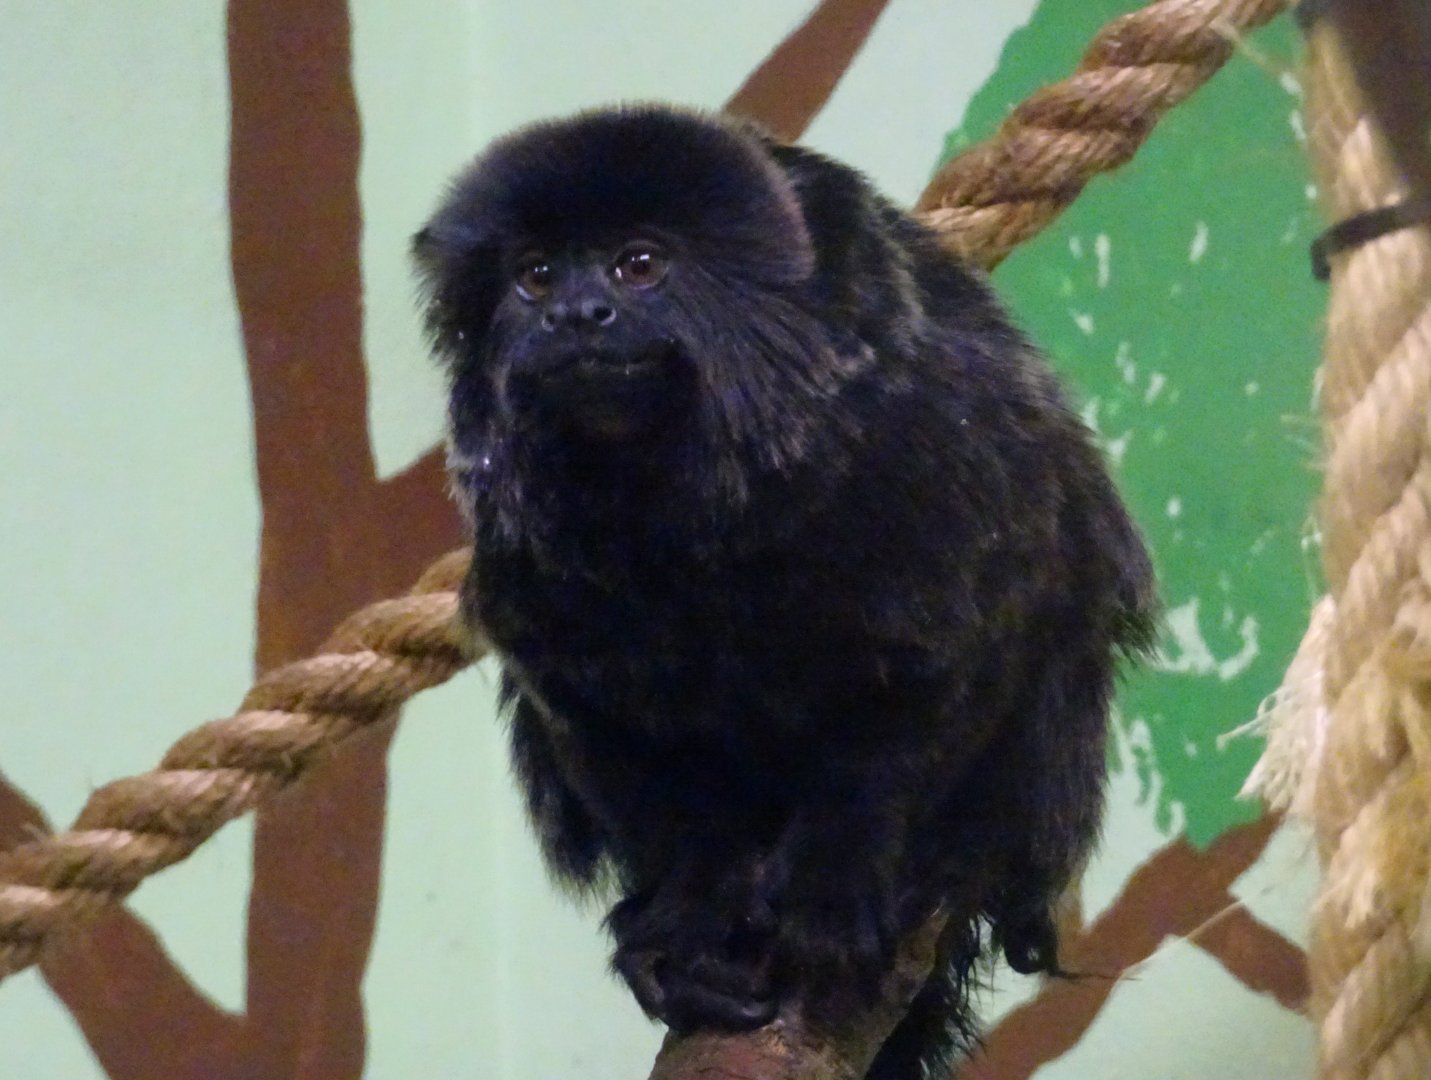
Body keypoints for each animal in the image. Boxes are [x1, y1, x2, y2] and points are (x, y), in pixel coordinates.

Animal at [413, 104, 1156, 1078]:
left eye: (638, 265)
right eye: (534, 277)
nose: (576, 315)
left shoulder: (935, 456)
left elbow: (948, 666)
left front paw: (838, 888)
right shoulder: (532, 581)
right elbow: (621, 747)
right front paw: (686, 922)